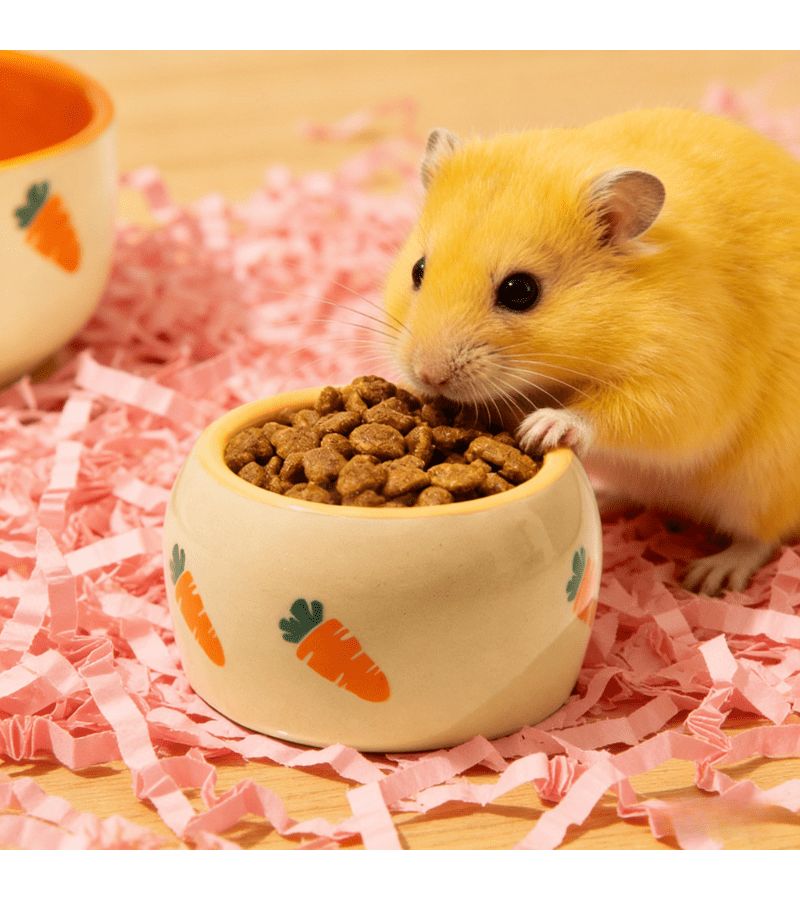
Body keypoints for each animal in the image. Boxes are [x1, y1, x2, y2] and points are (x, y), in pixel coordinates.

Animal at [382, 108, 800, 595]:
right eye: (418, 269)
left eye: (520, 290)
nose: (427, 375)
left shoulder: (684, 385)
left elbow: (614, 414)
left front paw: (542, 428)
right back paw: (607, 500)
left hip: (762, 487)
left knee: (760, 538)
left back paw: (707, 577)